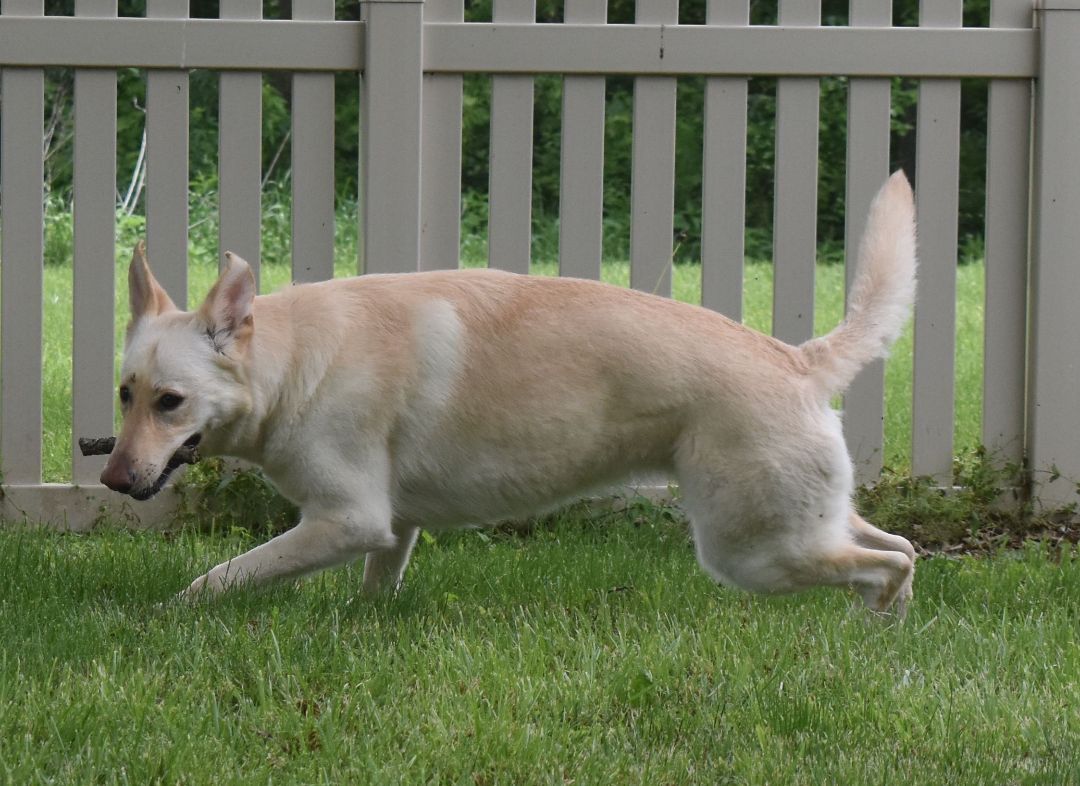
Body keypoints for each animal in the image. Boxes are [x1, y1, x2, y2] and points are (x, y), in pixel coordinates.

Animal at [101, 171, 915, 613]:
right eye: (125, 393)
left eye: (170, 401)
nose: (109, 478)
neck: (294, 361)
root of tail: (798, 360)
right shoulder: (391, 529)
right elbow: (373, 591)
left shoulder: (348, 520)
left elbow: (219, 577)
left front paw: (163, 615)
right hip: (799, 526)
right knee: (898, 547)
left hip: (751, 552)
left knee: (890, 560)